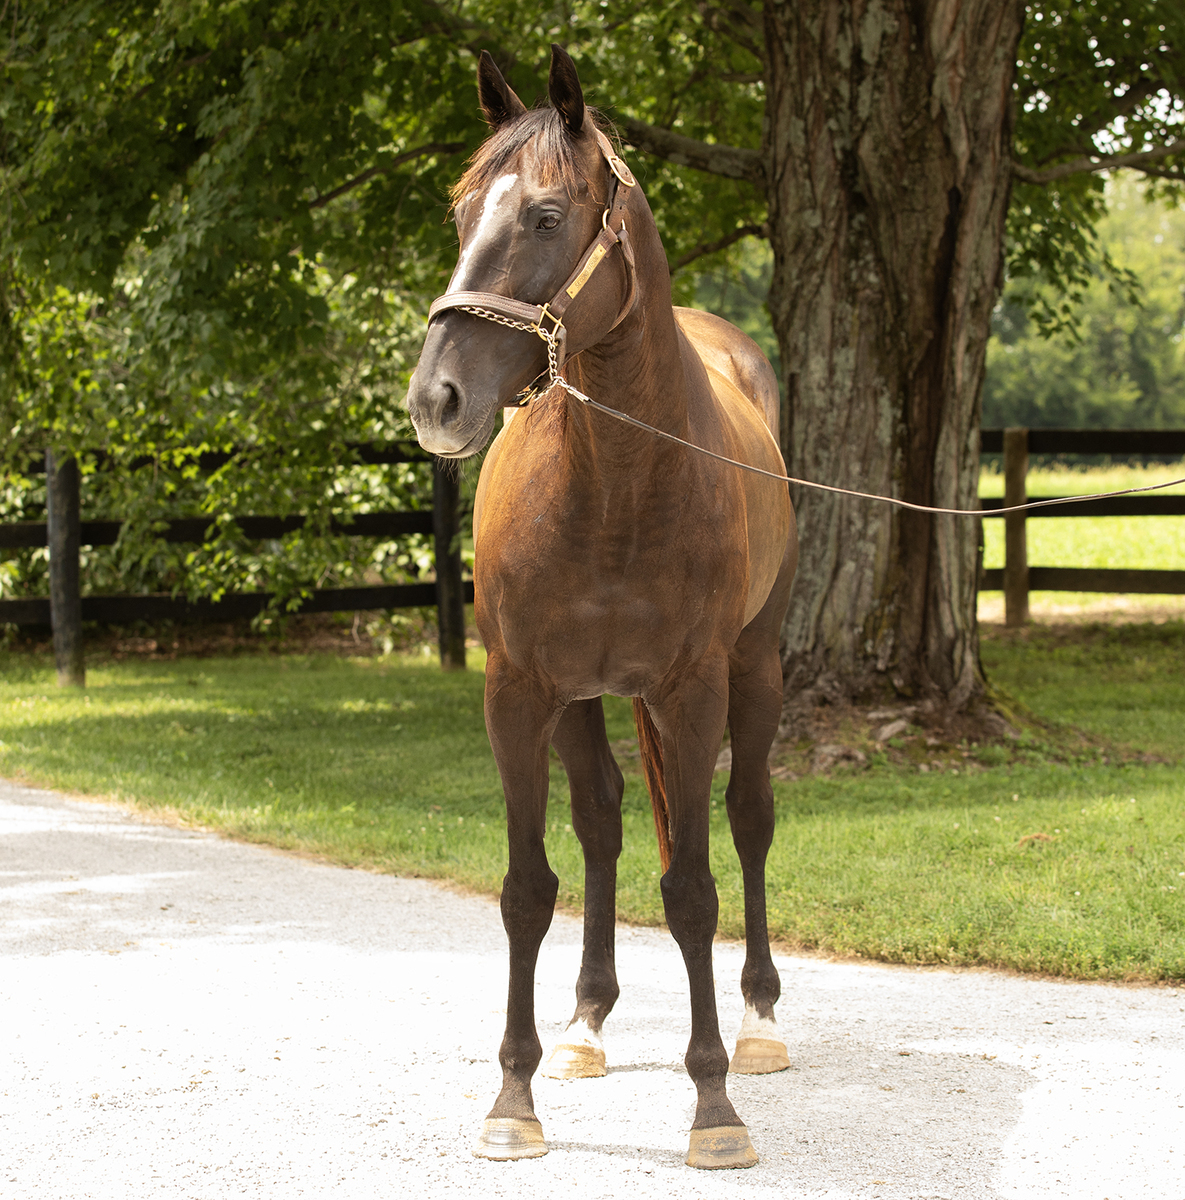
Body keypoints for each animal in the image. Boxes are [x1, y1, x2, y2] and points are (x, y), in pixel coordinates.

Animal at [406, 44, 797, 1171]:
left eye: (544, 216)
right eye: (461, 211)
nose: (437, 399)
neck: (621, 479)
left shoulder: (693, 692)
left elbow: (696, 888)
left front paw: (714, 1109)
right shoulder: (518, 694)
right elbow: (528, 887)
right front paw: (513, 1096)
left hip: (756, 670)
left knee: (749, 820)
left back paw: (759, 1022)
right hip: (583, 700)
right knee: (603, 823)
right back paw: (585, 1024)